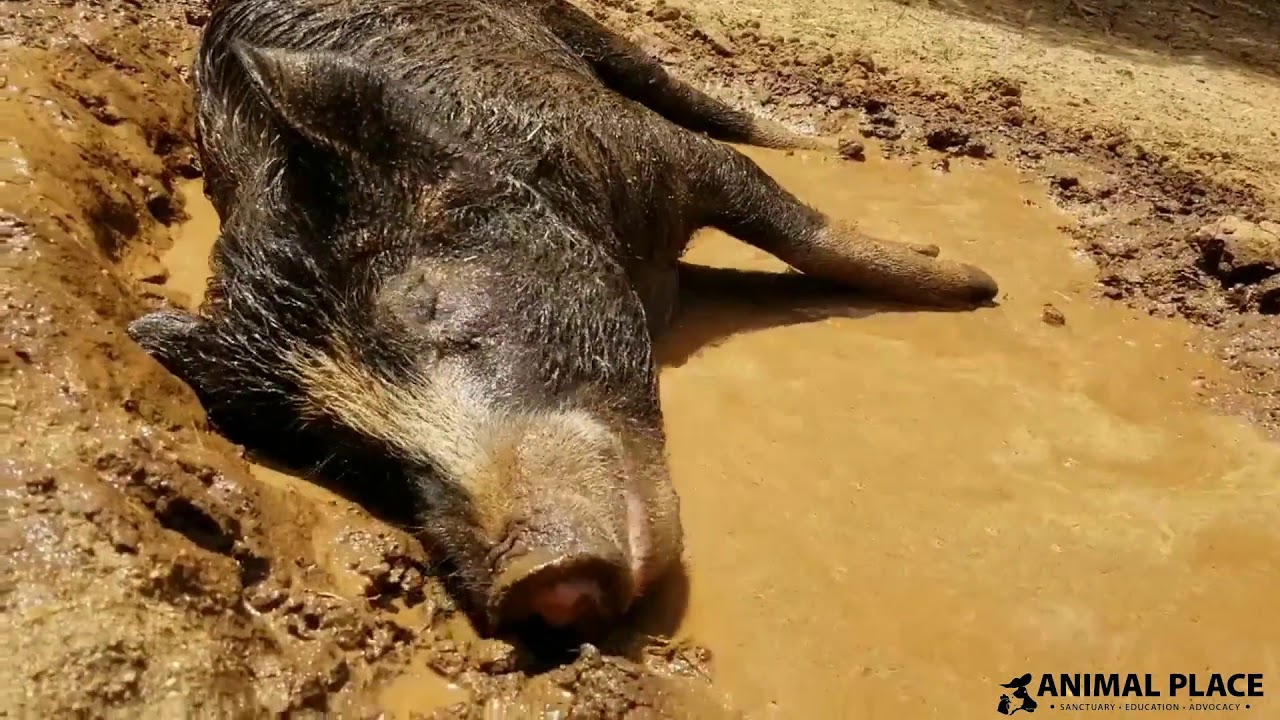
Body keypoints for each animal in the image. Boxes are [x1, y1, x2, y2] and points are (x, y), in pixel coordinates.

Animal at [127, 0, 998, 638]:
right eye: (338, 449)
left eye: (430, 303)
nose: (534, 582)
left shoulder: (649, 149)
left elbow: (795, 227)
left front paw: (977, 286)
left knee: (681, 89)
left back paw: (826, 143)